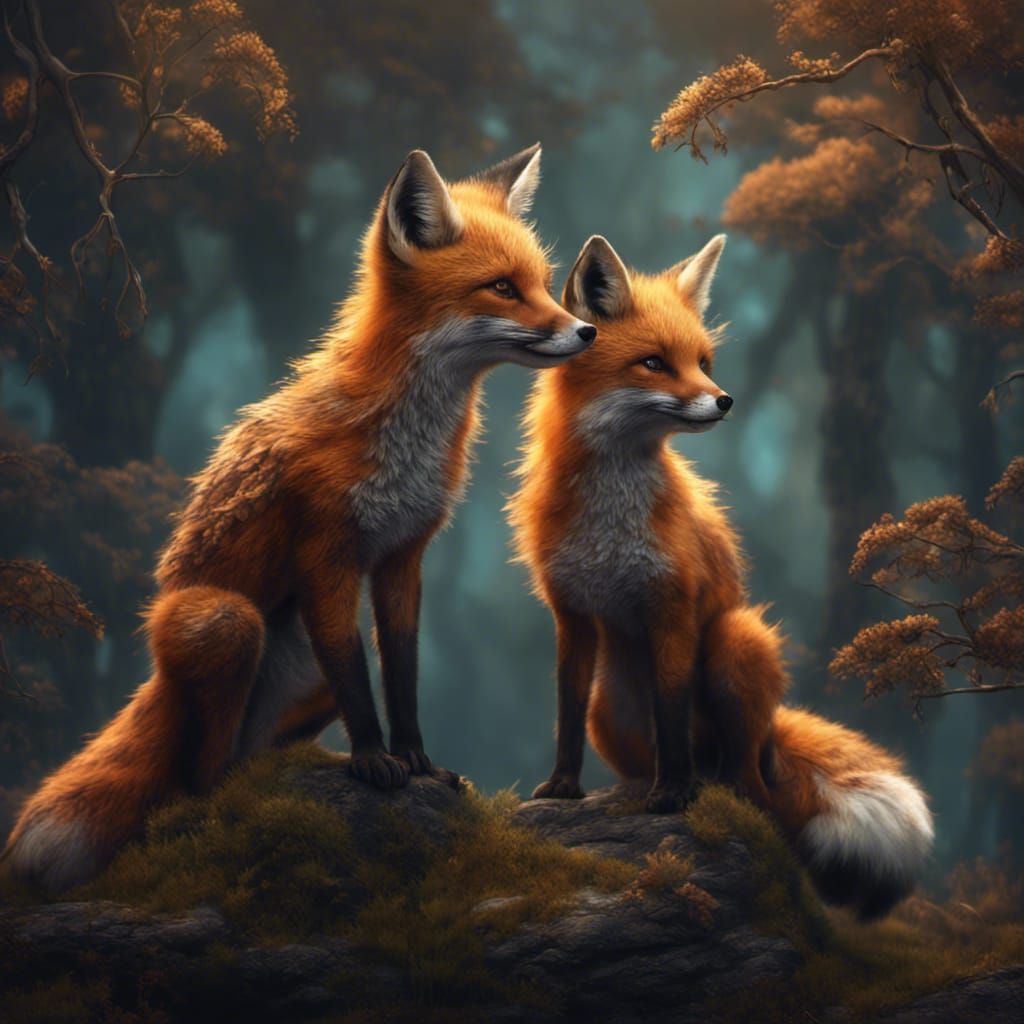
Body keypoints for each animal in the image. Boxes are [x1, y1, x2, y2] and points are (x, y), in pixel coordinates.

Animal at [4, 144, 597, 892]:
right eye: (501, 288)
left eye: (545, 284)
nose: (586, 330)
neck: (402, 440)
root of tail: (154, 678)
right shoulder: (326, 553)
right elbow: (357, 676)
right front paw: (375, 762)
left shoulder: (404, 555)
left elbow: (399, 671)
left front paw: (418, 763)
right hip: (228, 621)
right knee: (201, 773)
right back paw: (222, 797)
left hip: (299, 677)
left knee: (248, 750)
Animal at [509, 233, 934, 919]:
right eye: (654, 363)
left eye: (703, 361)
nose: (725, 400)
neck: (611, 524)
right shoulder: (570, 611)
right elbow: (566, 711)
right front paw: (562, 788)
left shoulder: (673, 607)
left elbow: (673, 705)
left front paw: (672, 795)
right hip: (612, 708)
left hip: (737, 642)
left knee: (754, 786)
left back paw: (721, 792)